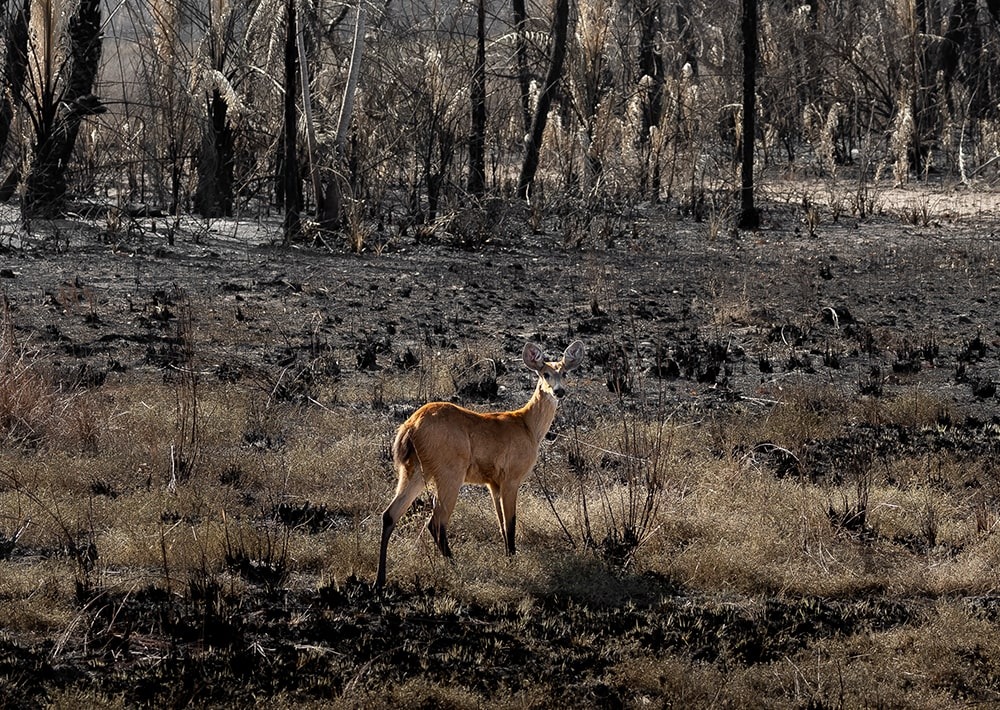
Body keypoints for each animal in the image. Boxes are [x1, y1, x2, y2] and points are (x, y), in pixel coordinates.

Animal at [376, 342, 584, 592]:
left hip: (413, 471)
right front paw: (512, 562)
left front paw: (508, 558)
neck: (528, 427)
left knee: (390, 514)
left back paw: (380, 581)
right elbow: (511, 523)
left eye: (565, 373)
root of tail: (411, 425)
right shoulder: (511, 478)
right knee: (435, 522)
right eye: (545, 373)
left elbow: (502, 524)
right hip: (449, 472)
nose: (559, 391)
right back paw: (456, 568)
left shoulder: (492, 483)